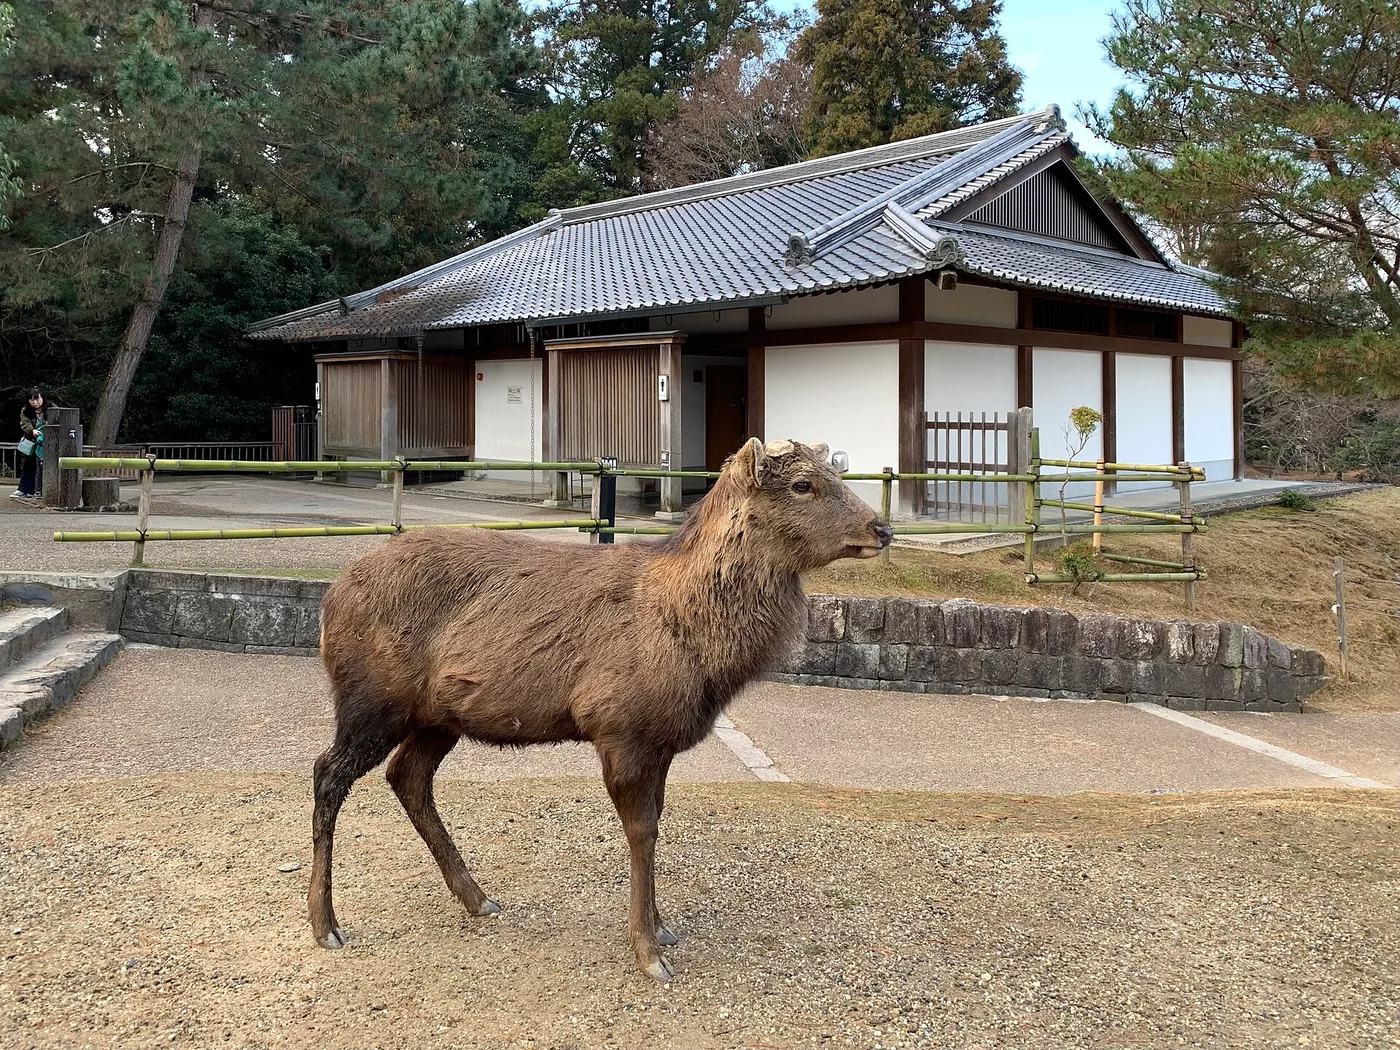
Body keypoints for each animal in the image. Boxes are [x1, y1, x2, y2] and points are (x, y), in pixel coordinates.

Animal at [310, 437, 892, 981]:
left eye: (834, 472)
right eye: (802, 485)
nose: (881, 528)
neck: (694, 643)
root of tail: (329, 600)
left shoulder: (660, 742)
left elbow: (656, 822)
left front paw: (661, 927)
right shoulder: (620, 725)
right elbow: (641, 832)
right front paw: (649, 952)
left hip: (438, 717)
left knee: (406, 775)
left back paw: (478, 898)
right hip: (371, 700)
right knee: (327, 772)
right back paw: (325, 924)